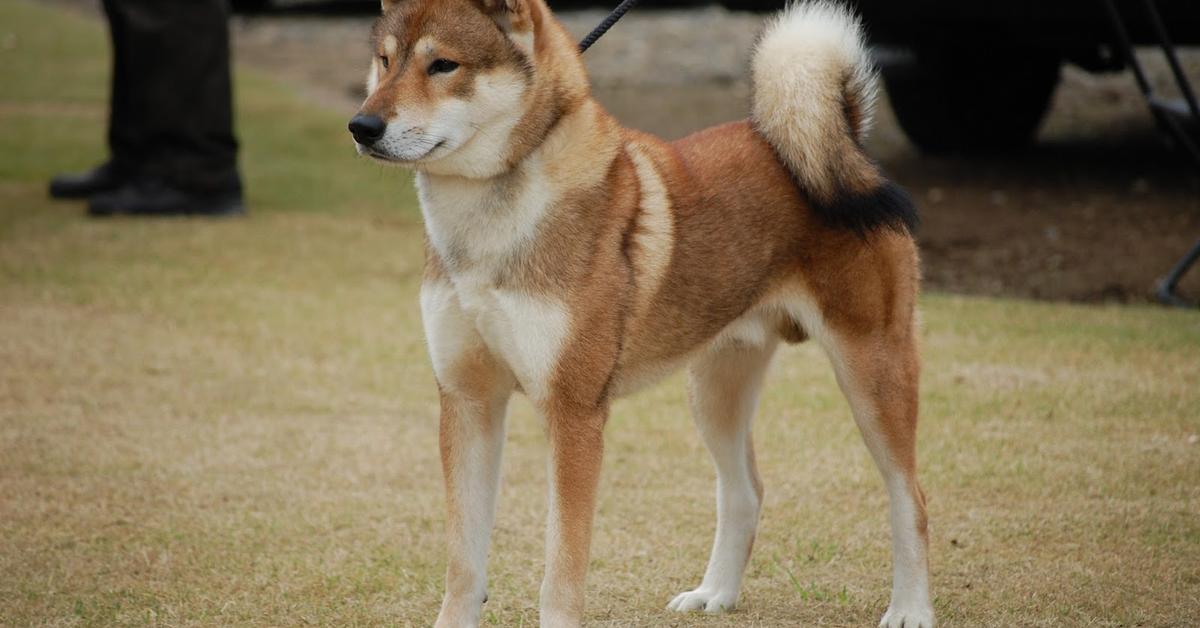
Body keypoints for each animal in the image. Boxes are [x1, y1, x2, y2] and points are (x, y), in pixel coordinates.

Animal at [350, 2, 931, 624]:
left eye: (443, 65)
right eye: (384, 61)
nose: (361, 126)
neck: (488, 225)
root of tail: (849, 141)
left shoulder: (574, 414)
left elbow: (560, 573)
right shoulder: (468, 400)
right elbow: (463, 565)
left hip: (871, 374)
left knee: (911, 499)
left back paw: (910, 607)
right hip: (715, 392)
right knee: (745, 492)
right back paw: (714, 593)